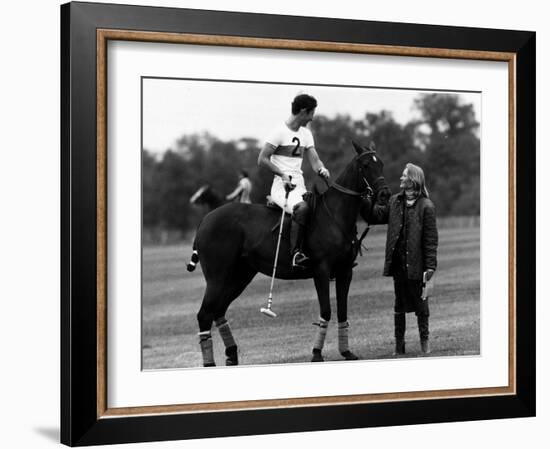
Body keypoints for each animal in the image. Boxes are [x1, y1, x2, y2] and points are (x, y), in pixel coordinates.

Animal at [190, 142, 392, 366]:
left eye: (381, 164)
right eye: (365, 166)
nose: (385, 194)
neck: (335, 215)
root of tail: (205, 220)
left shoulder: (345, 271)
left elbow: (342, 311)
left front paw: (347, 352)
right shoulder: (321, 271)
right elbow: (326, 310)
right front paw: (316, 354)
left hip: (240, 275)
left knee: (218, 310)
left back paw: (232, 355)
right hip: (217, 276)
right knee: (204, 314)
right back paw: (210, 363)